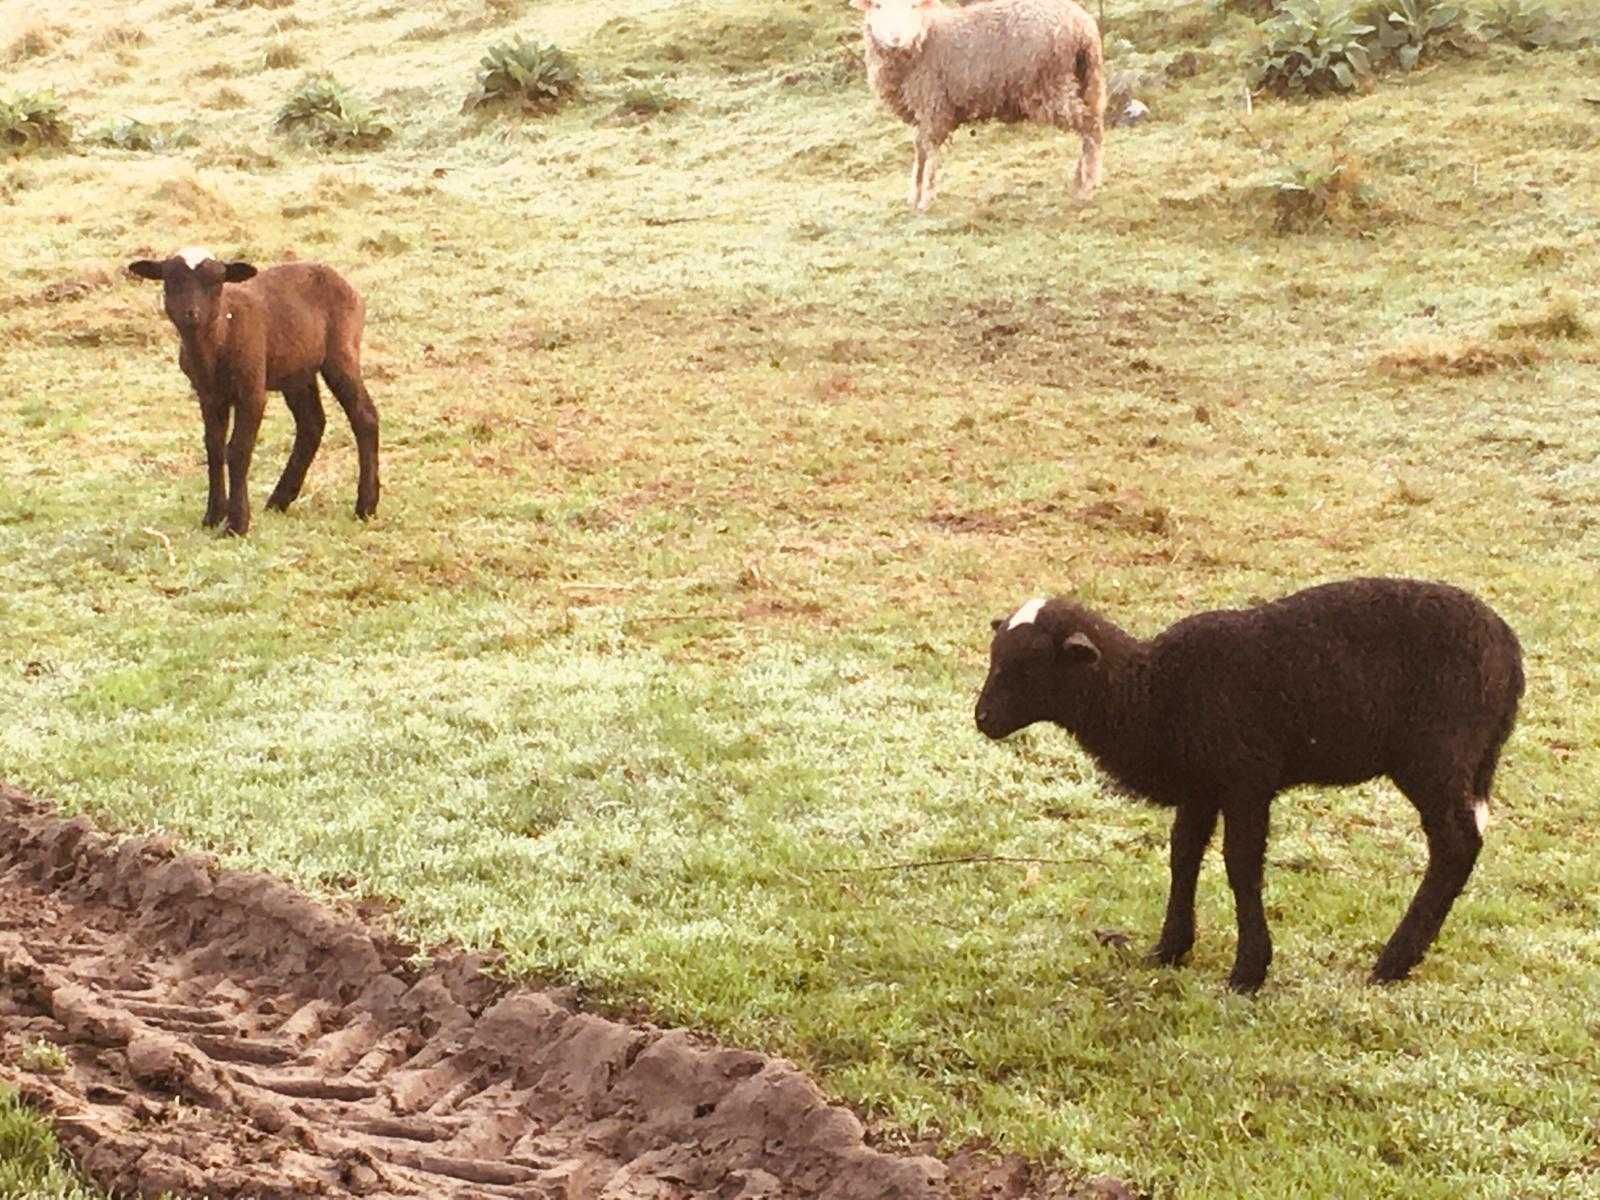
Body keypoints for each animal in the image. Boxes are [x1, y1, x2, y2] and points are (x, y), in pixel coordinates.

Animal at [129, 246, 379, 537]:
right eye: (171, 280)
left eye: (217, 282)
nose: (191, 313)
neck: (219, 337)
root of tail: (339, 278)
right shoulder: (208, 395)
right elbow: (213, 447)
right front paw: (213, 516)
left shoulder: (252, 391)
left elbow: (238, 450)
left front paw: (236, 524)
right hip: (296, 371)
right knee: (311, 424)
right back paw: (279, 501)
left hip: (341, 350)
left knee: (364, 416)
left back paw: (366, 506)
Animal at [857, 0, 1107, 209]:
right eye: (877, 6)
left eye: (913, 6)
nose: (895, 38)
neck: (924, 38)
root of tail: (1082, 25)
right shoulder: (920, 113)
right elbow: (920, 152)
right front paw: (913, 195)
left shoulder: (934, 107)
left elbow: (931, 152)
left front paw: (926, 198)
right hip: (1087, 78)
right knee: (1091, 126)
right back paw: (1079, 179)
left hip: (1052, 83)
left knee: (1090, 127)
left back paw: (1087, 187)